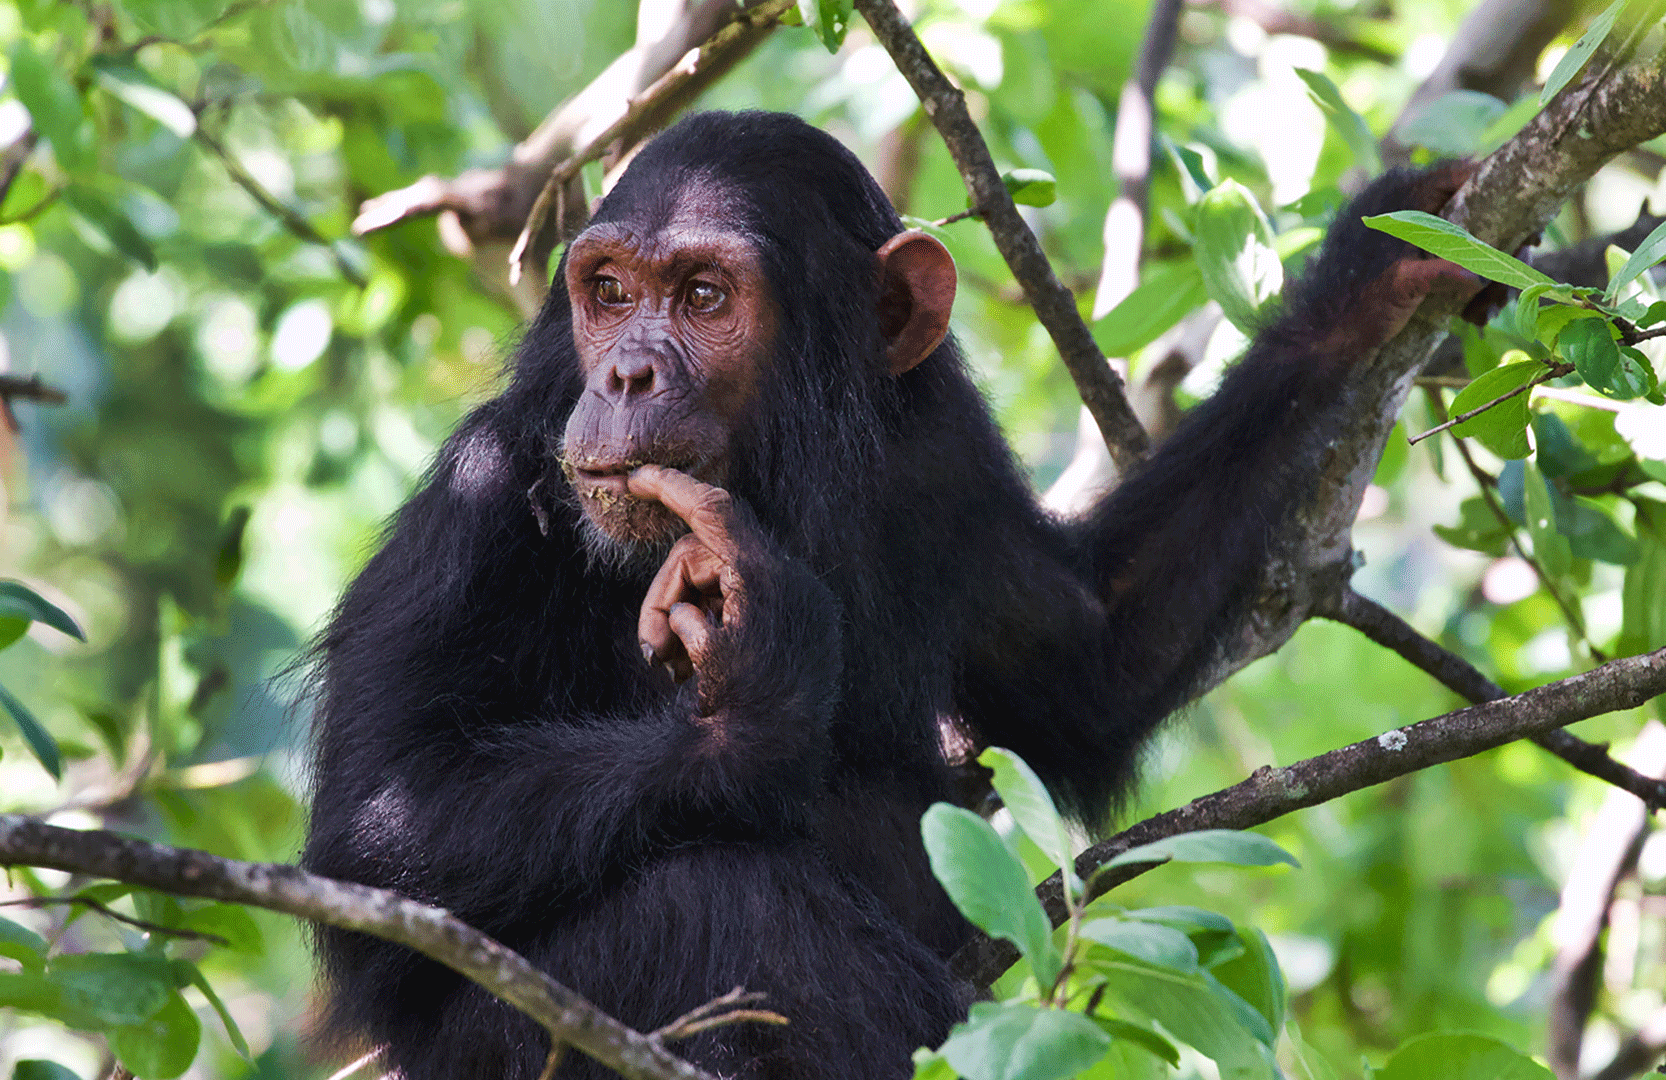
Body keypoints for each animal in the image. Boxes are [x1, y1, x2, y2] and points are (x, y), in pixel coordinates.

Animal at [299, 111, 1472, 1080]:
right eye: (611, 292)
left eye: (702, 295)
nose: (626, 372)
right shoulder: (485, 496)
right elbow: (383, 816)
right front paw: (756, 692)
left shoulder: (939, 464)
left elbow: (1093, 669)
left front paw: (1382, 266)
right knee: (721, 905)